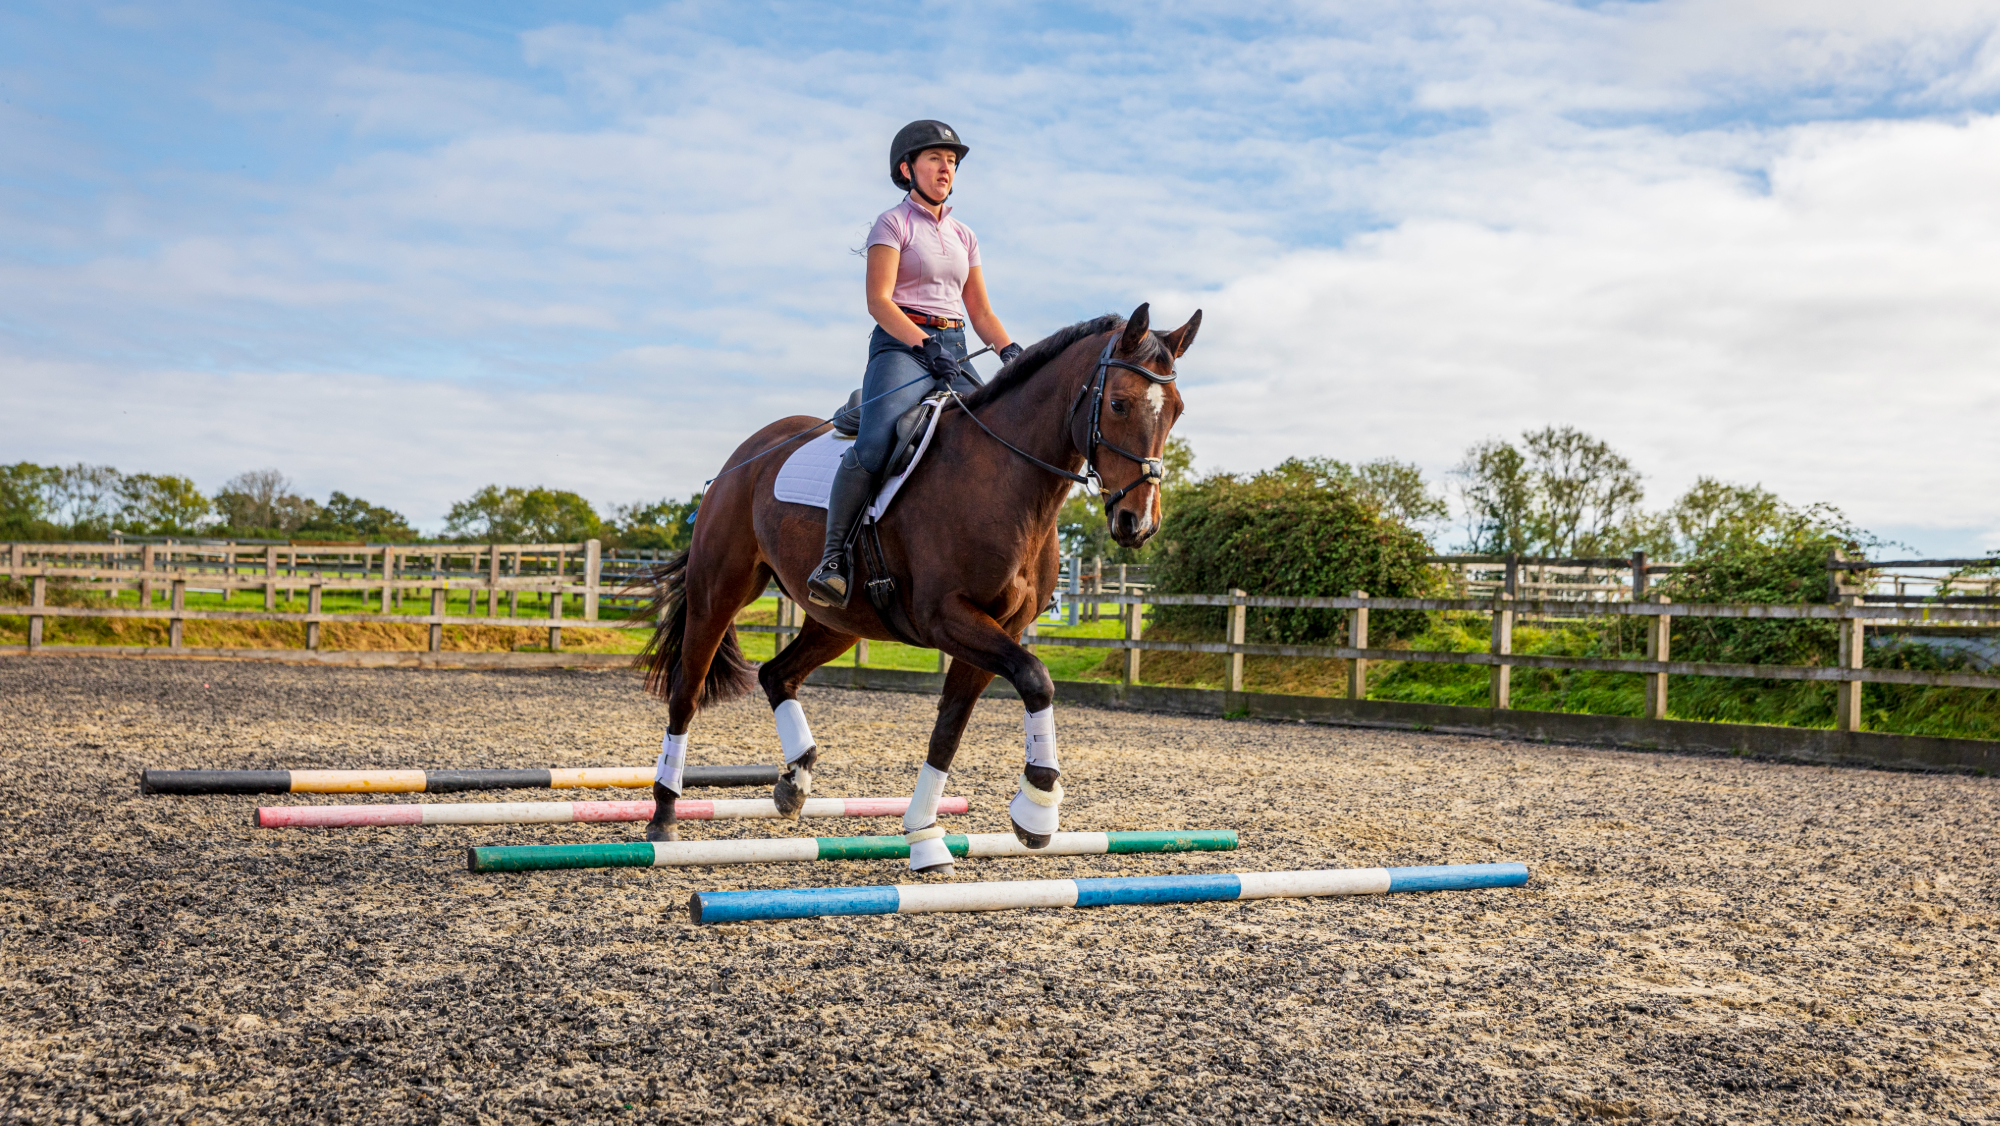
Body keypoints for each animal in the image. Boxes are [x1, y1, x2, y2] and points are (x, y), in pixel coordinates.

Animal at [638, 302, 1199, 874]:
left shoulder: (1001, 627)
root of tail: (743, 457)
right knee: (686, 692)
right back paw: (664, 815)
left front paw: (926, 837)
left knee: (776, 673)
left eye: (1175, 411)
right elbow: (1036, 679)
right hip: (719, 592)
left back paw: (794, 782)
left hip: (840, 620)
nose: (1138, 523)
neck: (1005, 478)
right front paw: (1038, 809)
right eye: (1118, 403)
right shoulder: (946, 617)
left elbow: (950, 728)